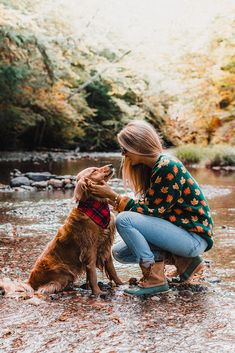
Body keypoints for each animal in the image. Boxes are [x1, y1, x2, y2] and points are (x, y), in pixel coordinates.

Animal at [27, 165, 122, 294]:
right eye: (94, 170)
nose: (111, 165)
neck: (96, 206)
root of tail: (30, 283)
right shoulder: (90, 249)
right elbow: (92, 274)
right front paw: (97, 293)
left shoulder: (105, 246)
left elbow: (112, 270)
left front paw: (121, 284)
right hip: (64, 273)